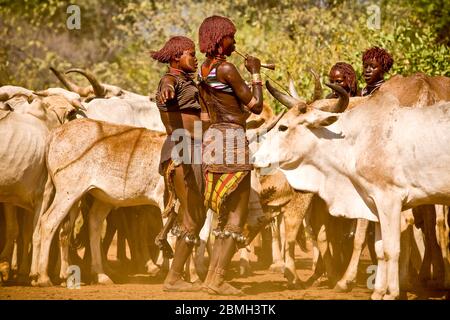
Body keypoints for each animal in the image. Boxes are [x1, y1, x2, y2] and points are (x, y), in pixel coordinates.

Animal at [253, 77, 450, 300]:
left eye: (283, 127)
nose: (256, 158)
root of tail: (425, 88)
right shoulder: (372, 203)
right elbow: (377, 247)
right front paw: (377, 291)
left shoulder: (388, 200)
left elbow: (386, 247)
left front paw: (386, 292)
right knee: (434, 225)